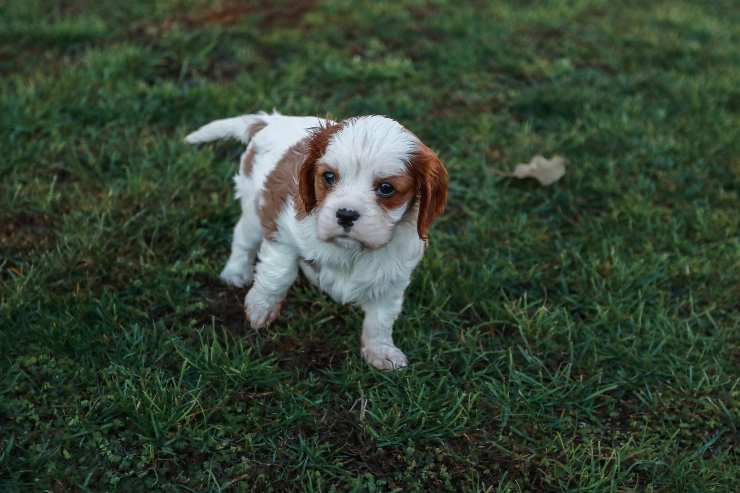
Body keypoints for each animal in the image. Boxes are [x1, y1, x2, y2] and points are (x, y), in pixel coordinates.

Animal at [188, 110, 448, 366]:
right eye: (329, 177)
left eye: (386, 188)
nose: (346, 214)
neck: (351, 250)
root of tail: (273, 120)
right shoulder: (283, 233)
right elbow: (278, 275)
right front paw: (260, 308)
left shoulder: (392, 277)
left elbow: (381, 319)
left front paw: (381, 352)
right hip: (254, 209)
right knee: (243, 240)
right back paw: (235, 273)